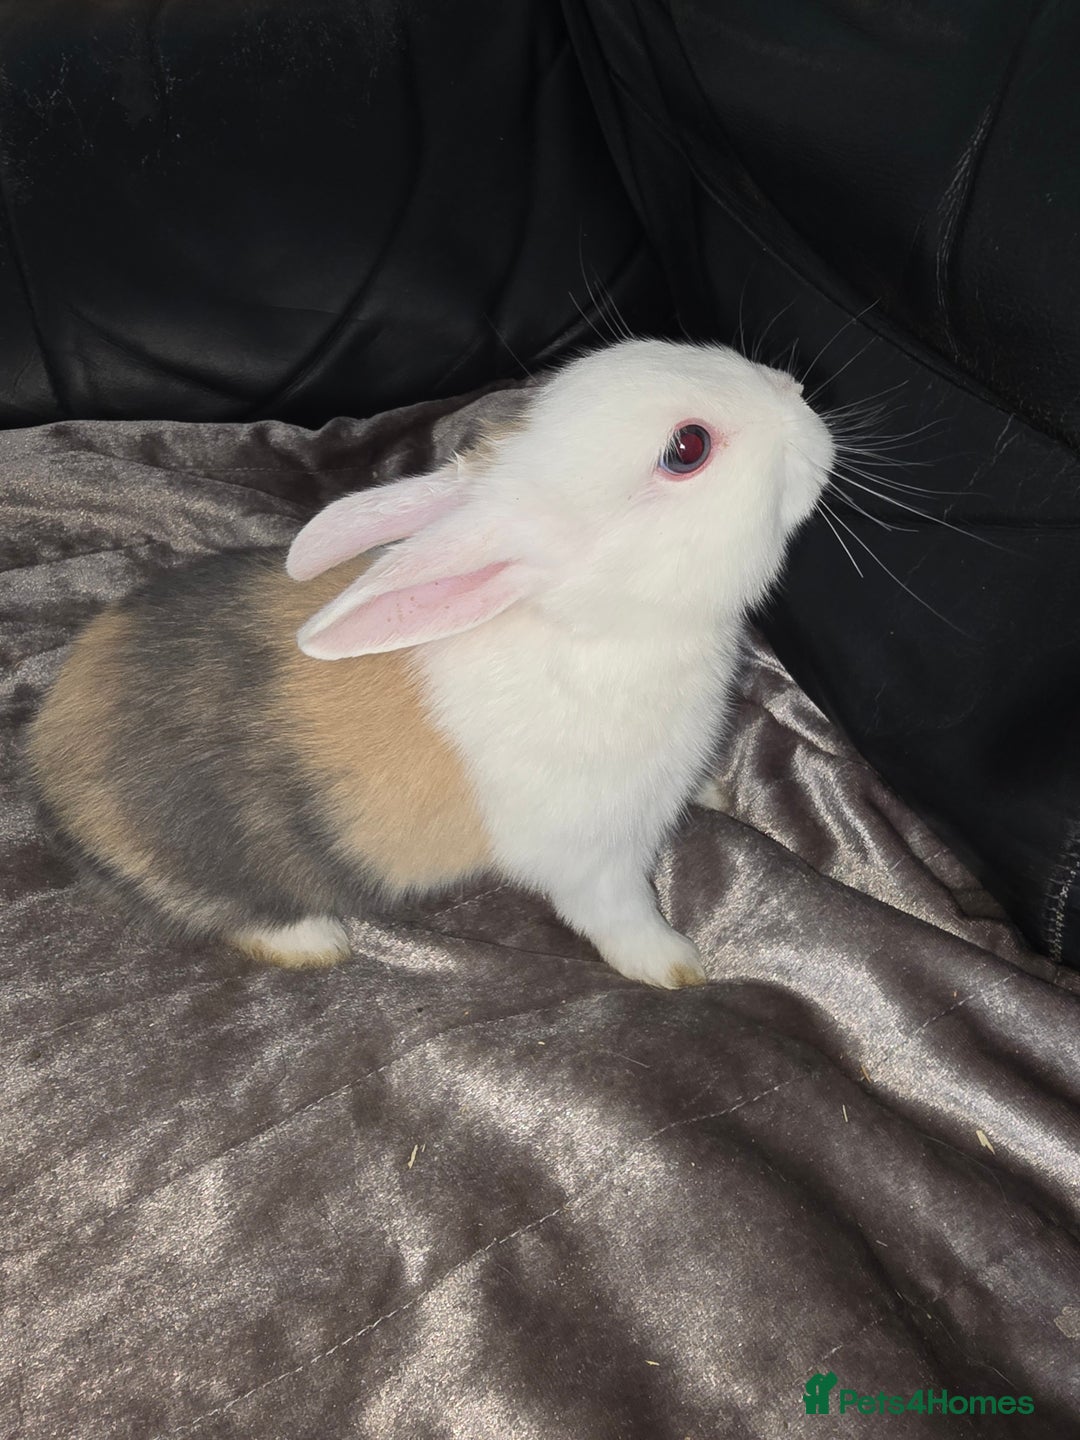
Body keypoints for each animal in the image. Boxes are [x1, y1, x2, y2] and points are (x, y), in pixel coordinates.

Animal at [28, 339, 834, 989]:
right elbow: (619, 917)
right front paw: (676, 966)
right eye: (688, 448)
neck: (600, 626)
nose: (798, 393)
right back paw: (315, 942)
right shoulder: (596, 857)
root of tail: (46, 752)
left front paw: (717, 793)